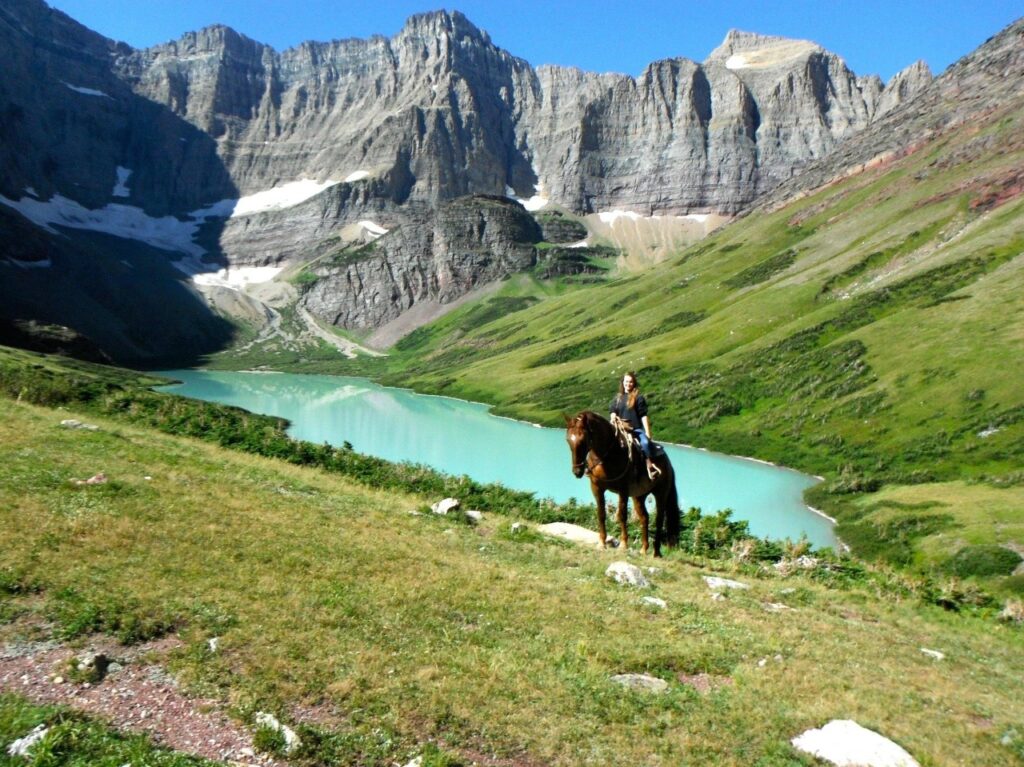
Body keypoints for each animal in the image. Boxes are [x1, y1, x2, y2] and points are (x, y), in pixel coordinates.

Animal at [564, 411, 681, 557]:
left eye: (584, 439)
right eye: (568, 440)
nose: (577, 471)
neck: (608, 454)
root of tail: (667, 462)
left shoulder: (623, 490)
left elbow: (622, 515)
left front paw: (623, 544)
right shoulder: (597, 487)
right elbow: (601, 514)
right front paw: (602, 543)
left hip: (661, 493)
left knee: (659, 520)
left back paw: (656, 553)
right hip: (639, 496)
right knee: (644, 518)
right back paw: (644, 549)